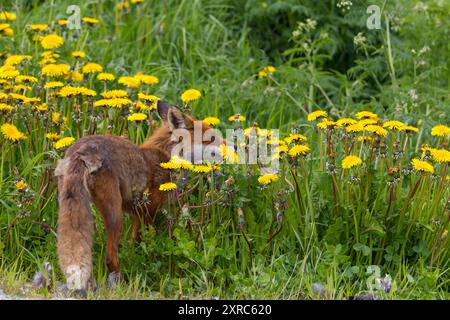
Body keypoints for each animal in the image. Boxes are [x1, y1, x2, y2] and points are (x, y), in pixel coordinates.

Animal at [55, 101, 224, 292]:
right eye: (211, 138)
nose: (231, 147)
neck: (167, 157)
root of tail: (81, 151)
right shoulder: (147, 210)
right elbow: (138, 241)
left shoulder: (139, 211)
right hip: (115, 214)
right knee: (110, 257)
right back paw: (120, 282)